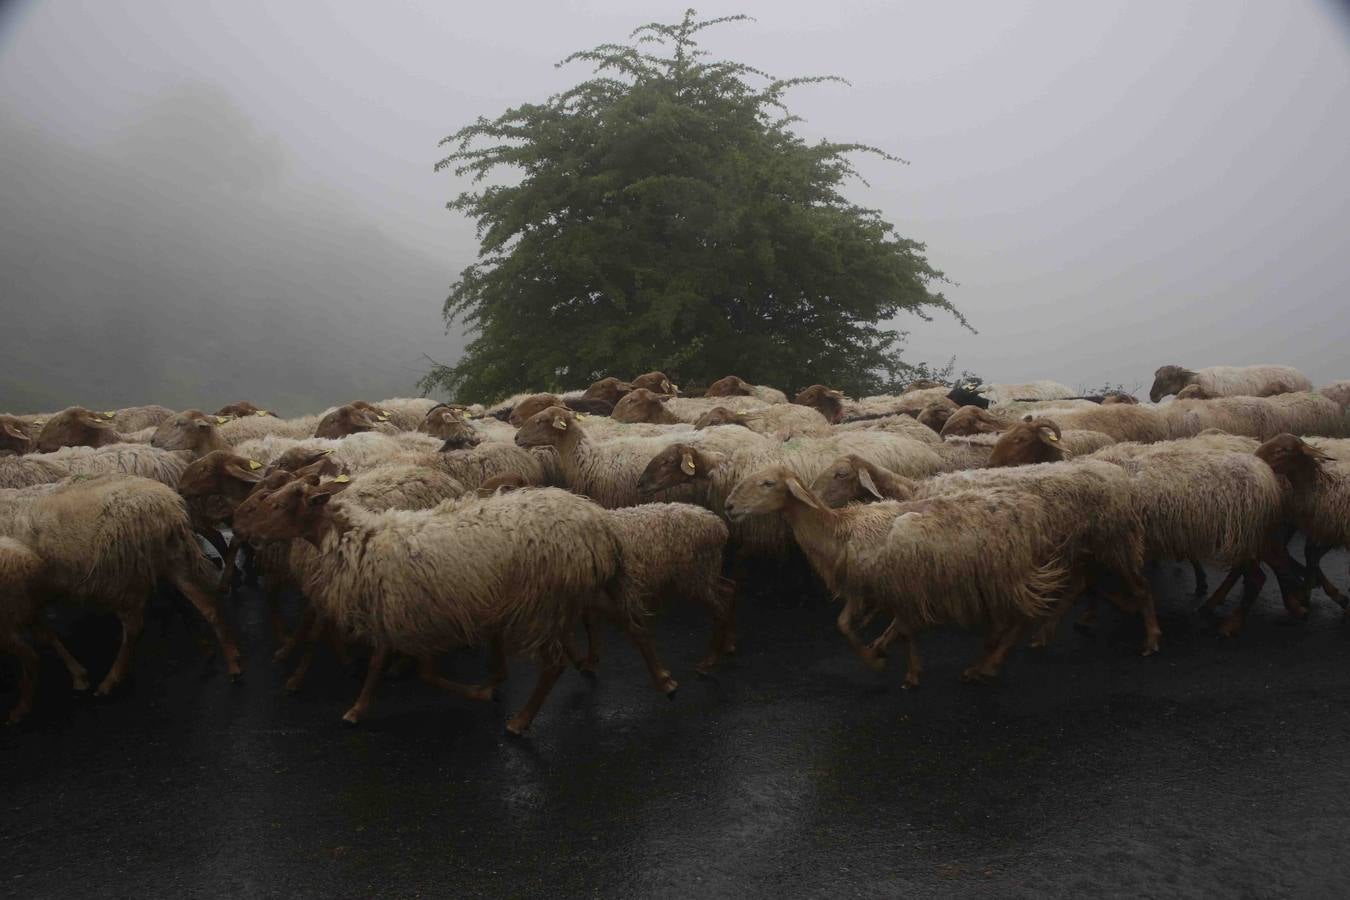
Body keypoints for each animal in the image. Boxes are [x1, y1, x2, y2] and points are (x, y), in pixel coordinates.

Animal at [0, 477, 240, 696]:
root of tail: (168, 508)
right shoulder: (26, 601)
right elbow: (46, 636)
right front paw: (78, 675)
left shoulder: (16, 600)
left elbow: (43, 638)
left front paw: (78, 676)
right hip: (173, 561)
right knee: (208, 607)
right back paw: (230, 662)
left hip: (123, 580)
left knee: (134, 628)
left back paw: (111, 680)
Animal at [233, 477, 675, 734]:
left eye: (278, 506)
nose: (243, 531)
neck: (358, 538)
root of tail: (600, 524)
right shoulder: (401, 611)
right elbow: (387, 665)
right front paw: (359, 705)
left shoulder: (411, 614)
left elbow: (414, 672)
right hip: (587, 588)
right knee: (634, 626)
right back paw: (663, 680)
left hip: (545, 599)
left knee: (553, 664)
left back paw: (520, 722)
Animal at [723, 469, 1069, 685]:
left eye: (767, 483)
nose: (728, 506)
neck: (839, 530)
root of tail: (1034, 508)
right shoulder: (868, 587)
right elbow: (845, 625)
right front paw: (879, 658)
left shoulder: (902, 586)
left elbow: (905, 629)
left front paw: (898, 668)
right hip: (994, 578)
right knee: (1008, 621)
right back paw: (984, 660)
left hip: (1007, 574)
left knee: (1024, 618)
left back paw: (987, 666)